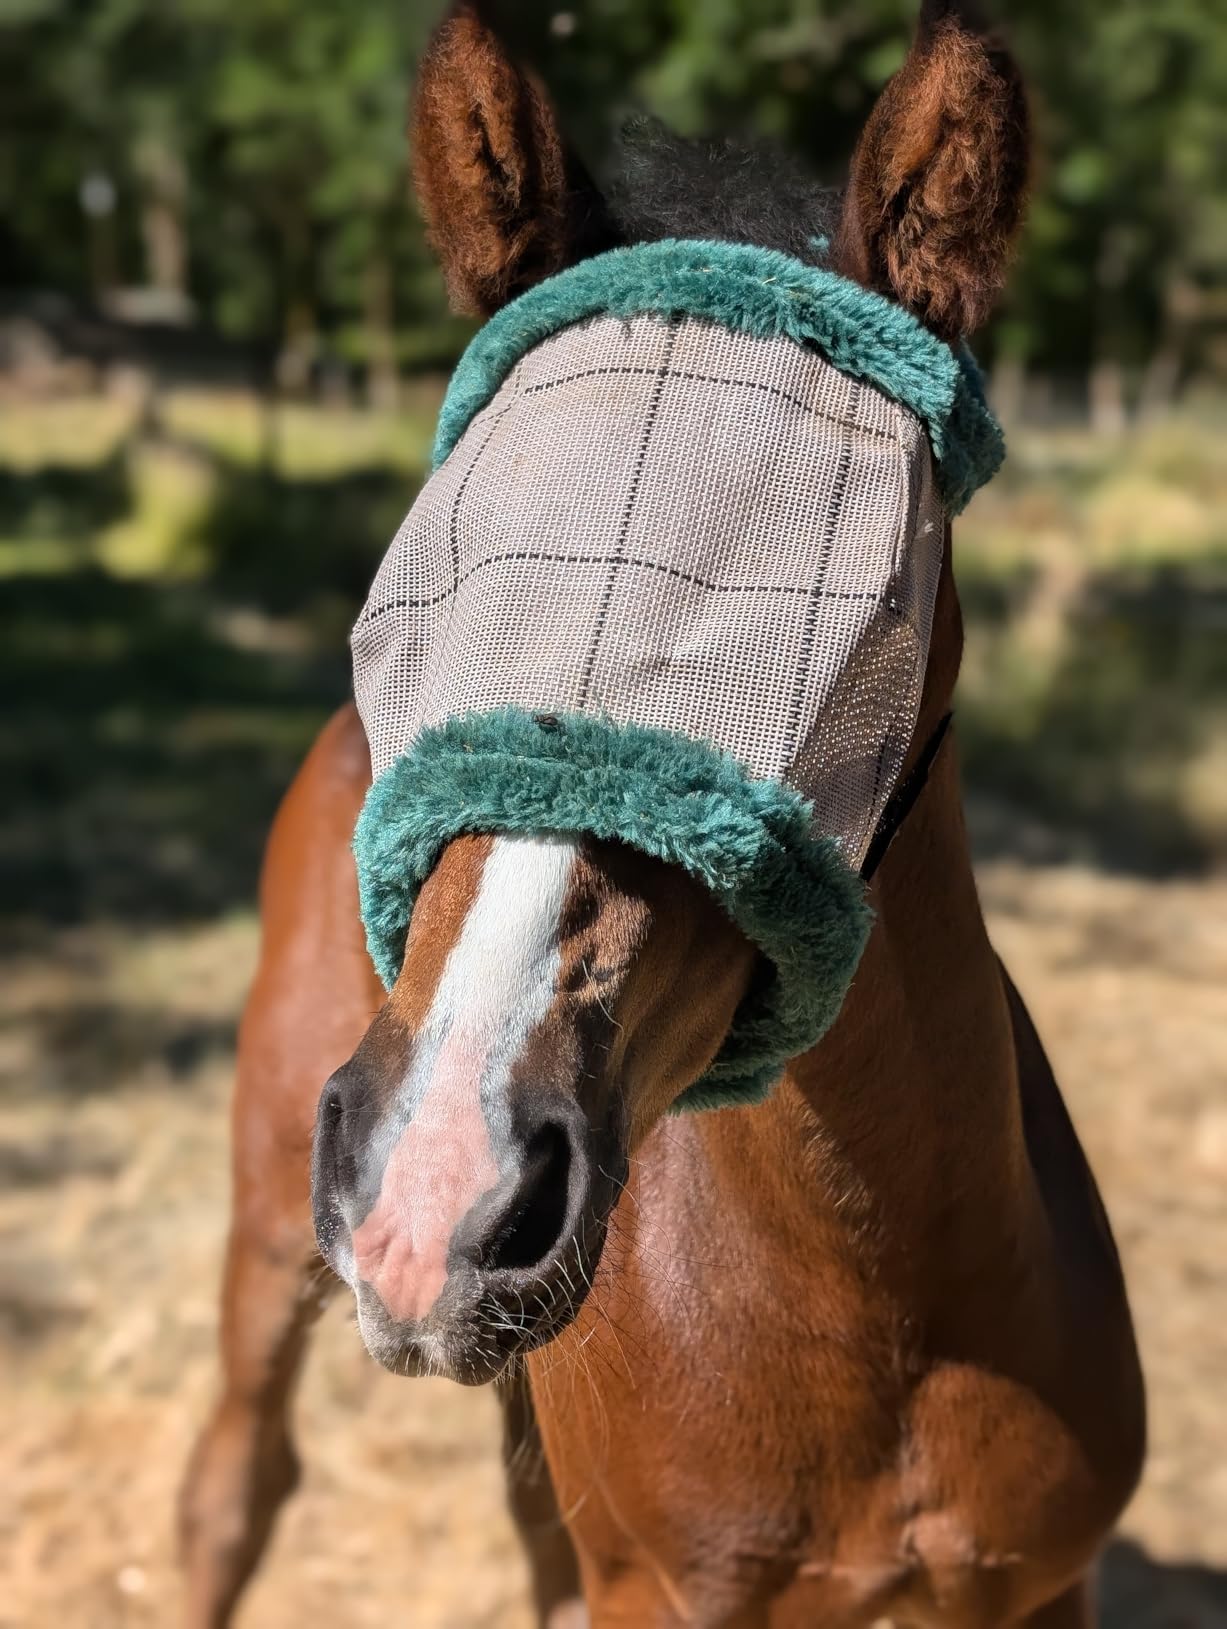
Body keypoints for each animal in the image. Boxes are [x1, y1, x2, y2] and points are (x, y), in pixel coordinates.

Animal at [180, 4, 1146, 1626]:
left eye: (876, 604)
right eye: (421, 569)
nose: (438, 1188)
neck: (882, 1321)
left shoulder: (1035, 1589)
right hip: (270, 1219)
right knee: (232, 1489)